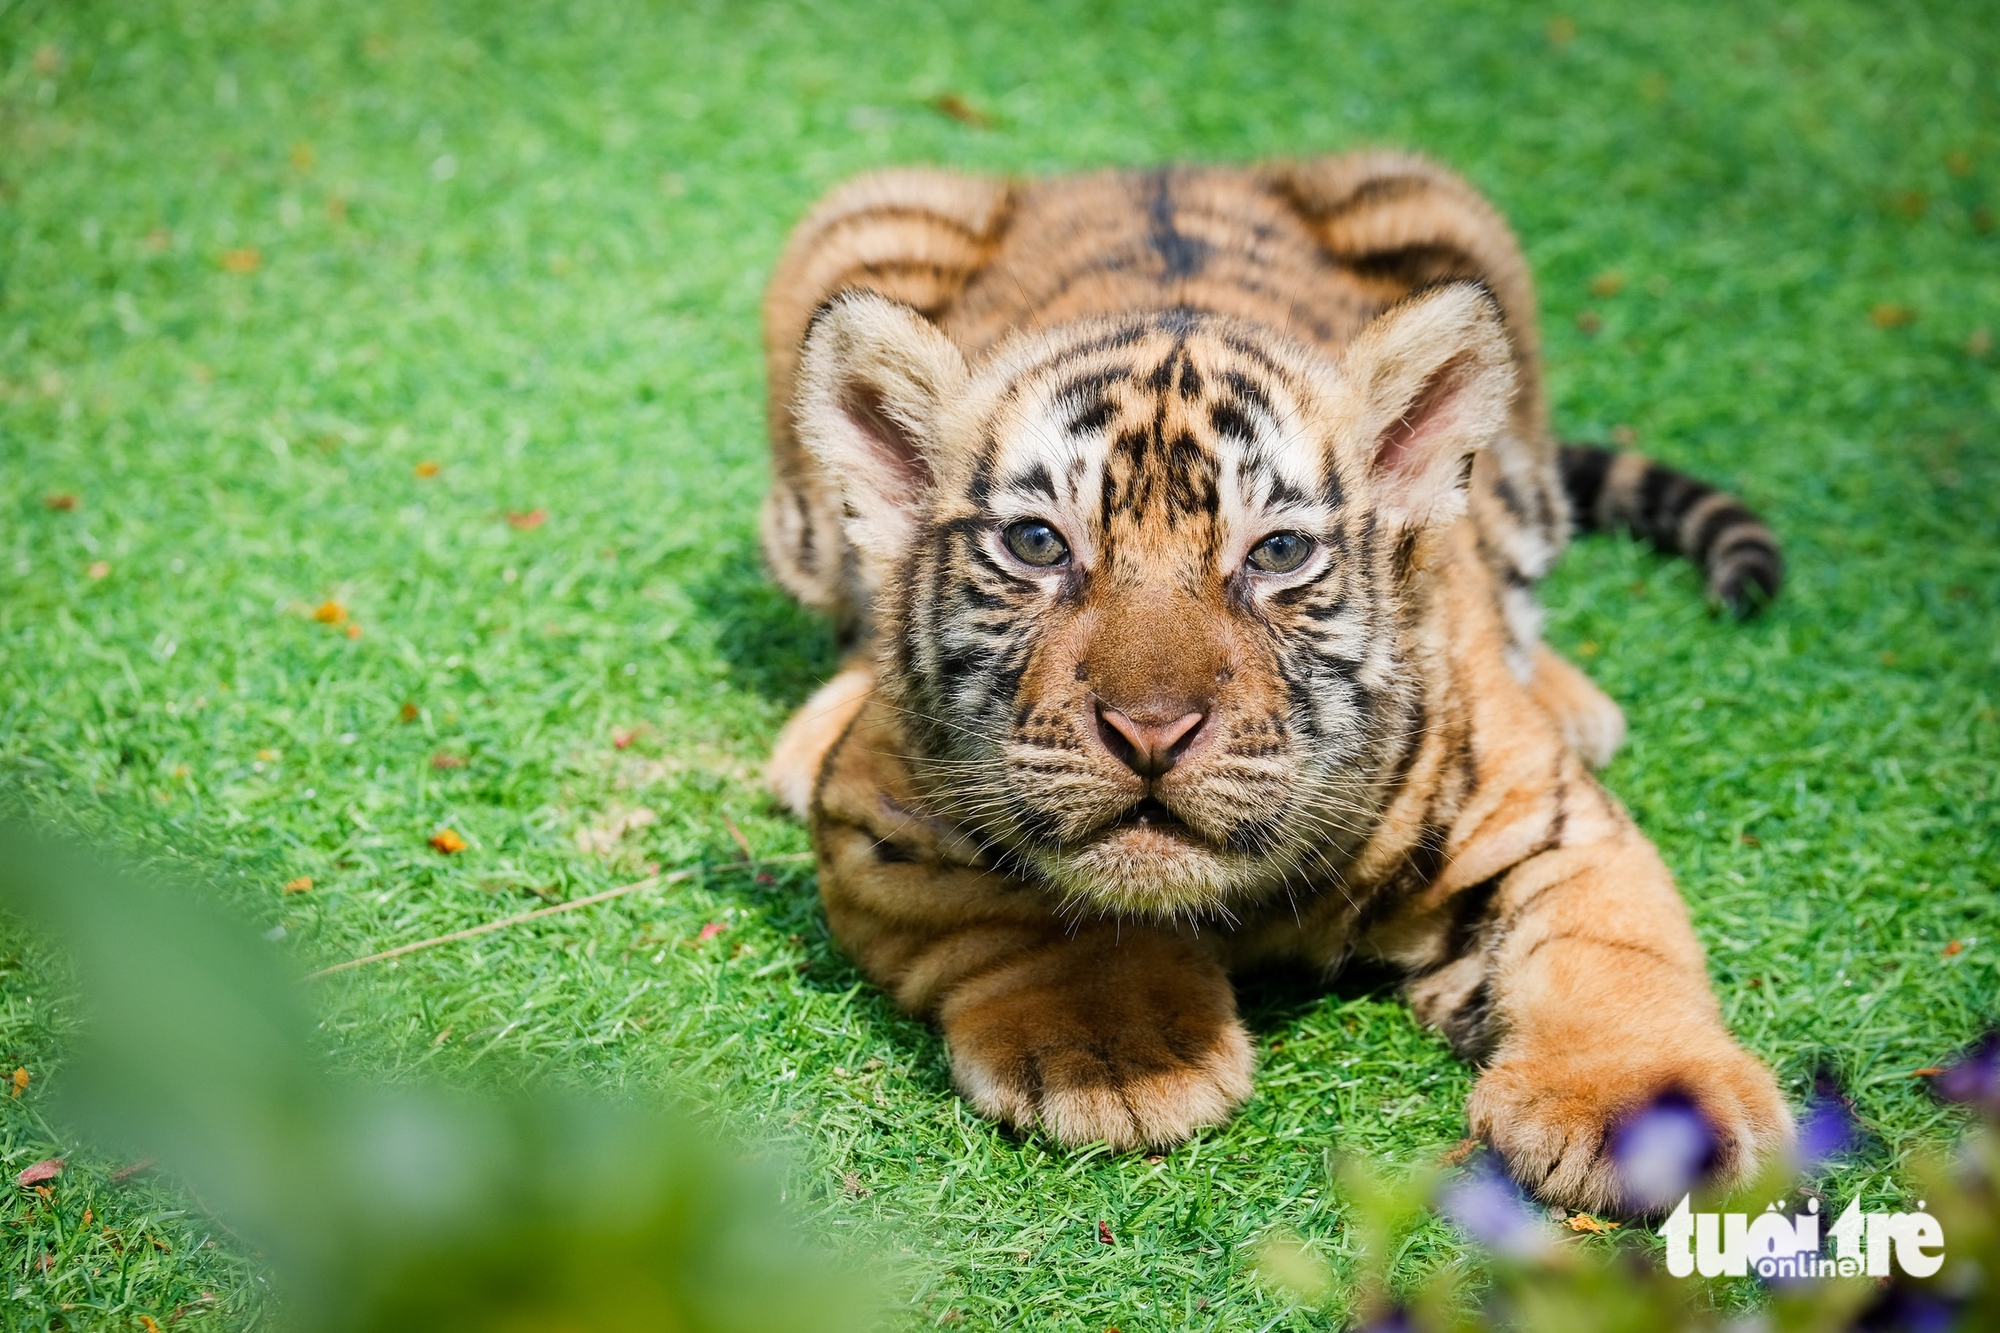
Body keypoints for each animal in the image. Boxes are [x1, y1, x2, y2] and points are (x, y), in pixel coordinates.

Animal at [755, 152, 1790, 1213]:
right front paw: (1114, 1053)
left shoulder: (1553, 821)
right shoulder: (878, 819)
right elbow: (1024, 913)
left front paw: (1648, 1107)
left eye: (1278, 551)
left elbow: (1612, 947)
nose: (1152, 730)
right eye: (1039, 543)